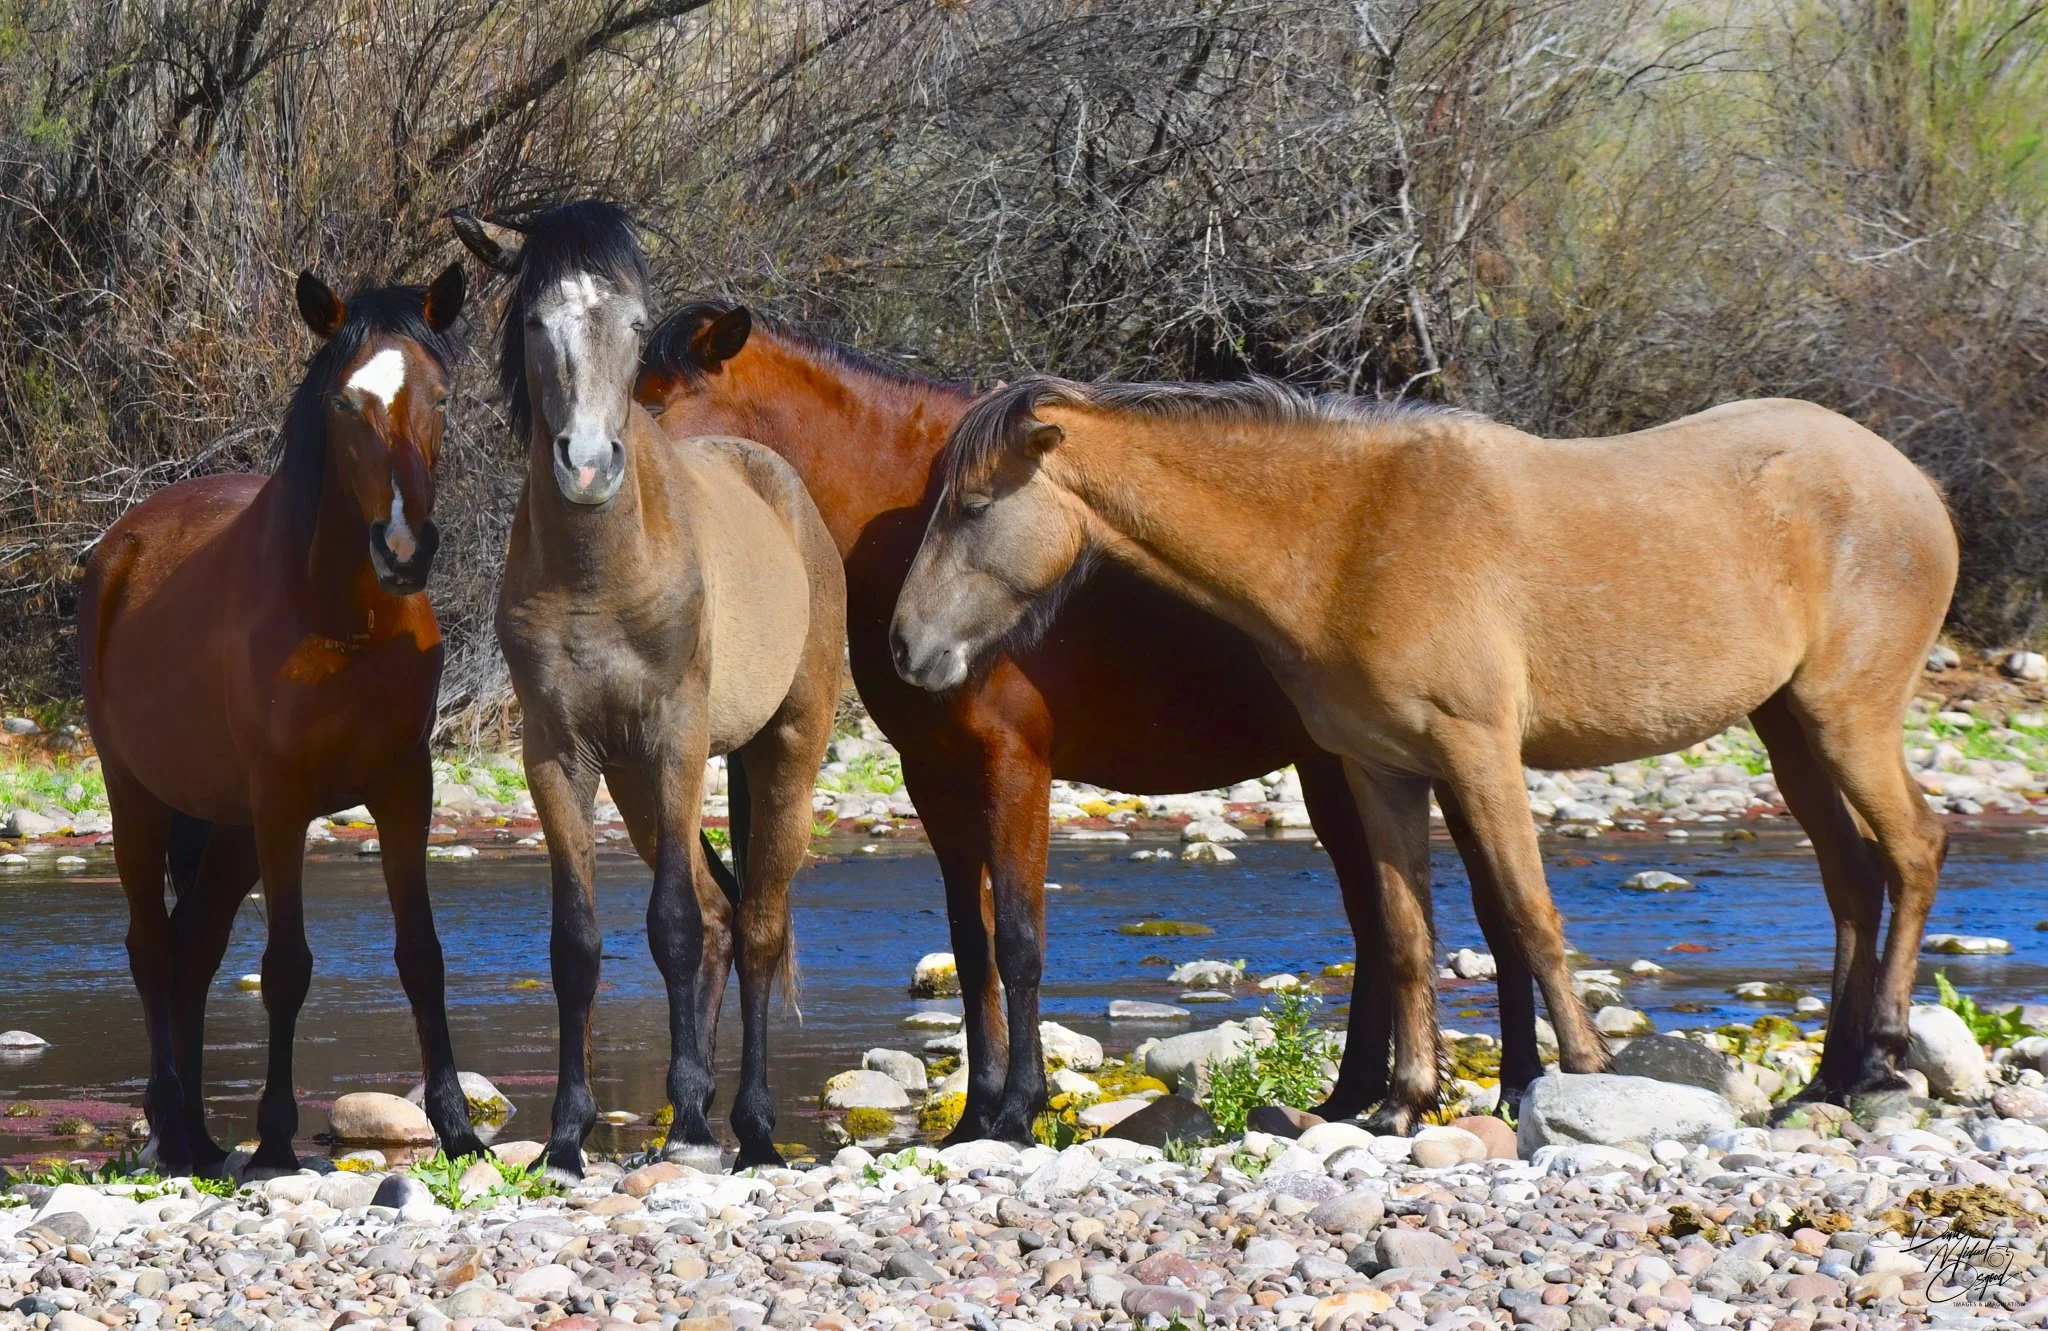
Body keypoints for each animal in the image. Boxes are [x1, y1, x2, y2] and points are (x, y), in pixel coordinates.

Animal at [77, 265, 486, 1175]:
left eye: (440, 394)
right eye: (343, 401)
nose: (404, 547)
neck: (343, 613)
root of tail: (118, 545)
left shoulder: (404, 784)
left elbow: (424, 954)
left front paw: (458, 1127)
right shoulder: (283, 799)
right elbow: (287, 966)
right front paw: (272, 1136)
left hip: (229, 828)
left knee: (190, 952)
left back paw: (196, 1135)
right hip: (140, 800)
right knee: (150, 951)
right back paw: (176, 1127)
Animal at [452, 203, 844, 1173]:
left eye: (632, 326)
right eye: (533, 322)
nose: (588, 466)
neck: (600, 570)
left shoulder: (676, 740)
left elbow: (668, 924)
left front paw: (699, 1127)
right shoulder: (558, 755)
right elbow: (576, 943)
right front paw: (566, 1134)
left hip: (784, 749)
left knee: (756, 922)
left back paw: (750, 1128)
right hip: (632, 779)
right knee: (720, 911)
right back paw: (690, 1104)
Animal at [631, 304, 1556, 1139]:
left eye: (655, 403)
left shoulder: (1015, 764)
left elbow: (1020, 940)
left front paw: (1018, 1107)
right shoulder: (933, 772)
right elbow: (972, 943)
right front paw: (977, 1114)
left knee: (1482, 909)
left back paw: (1514, 1087)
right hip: (1341, 766)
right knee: (1378, 914)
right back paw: (1355, 1094)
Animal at [892, 376, 1958, 1128]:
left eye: (973, 507)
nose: (907, 647)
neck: (1349, 534)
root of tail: (1914, 481)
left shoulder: (1479, 750)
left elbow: (1526, 913)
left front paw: (1586, 1069)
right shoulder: (1383, 769)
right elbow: (1405, 934)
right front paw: (1406, 1099)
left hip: (1847, 718)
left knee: (1913, 847)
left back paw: (1885, 1050)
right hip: (1789, 729)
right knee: (1852, 877)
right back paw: (1832, 1075)